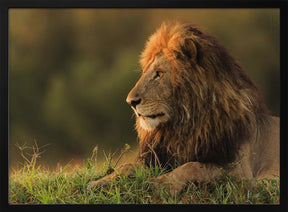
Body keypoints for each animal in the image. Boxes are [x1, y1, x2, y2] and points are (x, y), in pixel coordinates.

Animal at [87, 20, 280, 194]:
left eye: (158, 74)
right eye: (145, 72)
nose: (130, 102)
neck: (184, 126)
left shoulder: (240, 172)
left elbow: (193, 166)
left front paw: (161, 184)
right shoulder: (162, 157)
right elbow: (126, 166)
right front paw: (98, 182)